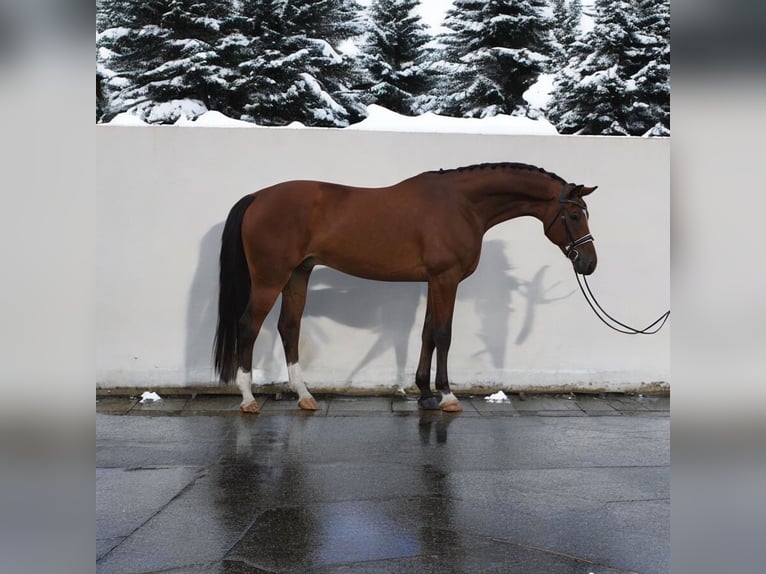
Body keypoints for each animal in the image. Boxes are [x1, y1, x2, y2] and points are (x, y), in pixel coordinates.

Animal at [216, 162, 600, 414]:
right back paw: (248, 399)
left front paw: (425, 394)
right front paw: (446, 396)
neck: (460, 205)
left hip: (299, 274)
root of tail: (257, 197)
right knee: (248, 326)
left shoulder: (434, 280)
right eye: (574, 215)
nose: (589, 263)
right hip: (270, 278)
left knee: (289, 327)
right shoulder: (445, 278)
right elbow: (443, 333)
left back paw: (304, 396)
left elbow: (428, 333)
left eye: (585, 213)